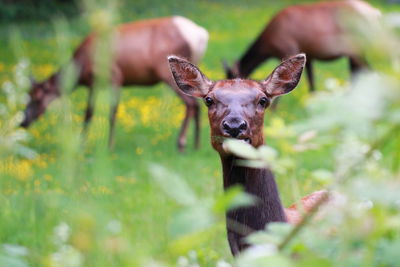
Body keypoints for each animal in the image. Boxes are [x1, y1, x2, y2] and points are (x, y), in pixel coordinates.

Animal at [21, 16, 209, 151]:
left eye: (36, 98)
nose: (23, 121)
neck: (81, 67)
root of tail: (201, 35)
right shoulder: (94, 83)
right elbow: (88, 113)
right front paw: (82, 143)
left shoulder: (115, 77)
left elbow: (112, 113)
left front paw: (109, 146)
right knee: (197, 103)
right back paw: (197, 145)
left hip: (166, 74)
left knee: (191, 104)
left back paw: (181, 143)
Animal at [223, 0, 380, 92]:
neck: (268, 46)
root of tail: (375, 13)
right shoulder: (308, 55)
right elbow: (311, 84)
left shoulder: (288, 49)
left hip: (356, 48)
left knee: (368, 71)